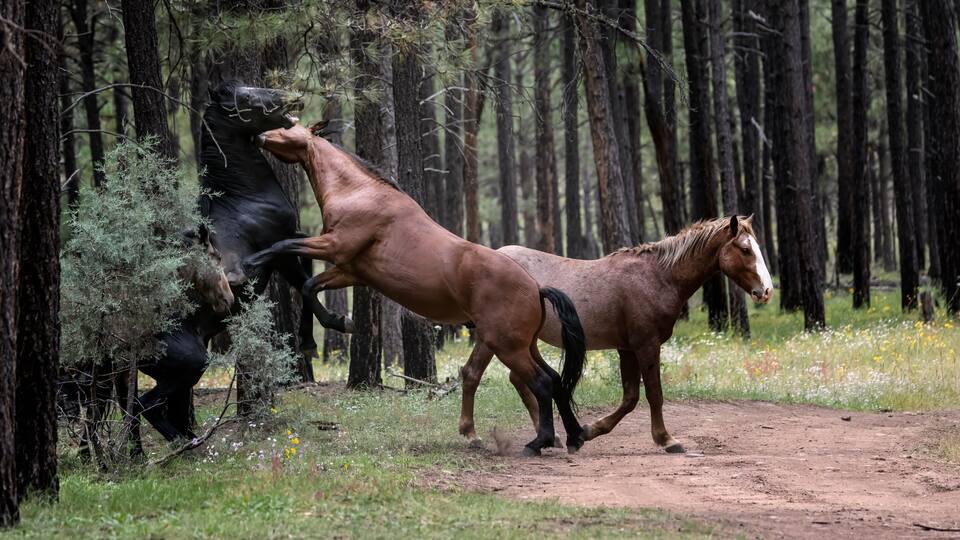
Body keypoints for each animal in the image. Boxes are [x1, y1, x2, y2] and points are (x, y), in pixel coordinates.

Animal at [133, 82, 353, 444]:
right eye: (246, 98)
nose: (291, 98)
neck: (244, 199)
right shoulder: (282, 251)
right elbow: (304, 284)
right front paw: (333, 325)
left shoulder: (293, 240)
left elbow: (307, 276)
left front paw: (307, 339)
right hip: (190, 362)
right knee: (146, 405)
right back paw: (187, 444)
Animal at [242, 122, 590, 455]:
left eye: (288, 126)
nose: (258, 136)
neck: (358, 192)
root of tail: (536, 288)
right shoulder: (350, 270)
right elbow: (308, 287)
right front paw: (320, 333)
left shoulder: (334, 246)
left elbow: (284, 246)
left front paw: (250, 262)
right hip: (522, 345)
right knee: (554, 380)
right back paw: (572, 436)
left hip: (506, 346)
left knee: (541, 384)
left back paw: (538, 442)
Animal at [458, 216, 773, 453]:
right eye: (745, 249)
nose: (767, 291)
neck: (658, 277)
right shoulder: (646, 345)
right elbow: (653, 394)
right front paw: (666, 439)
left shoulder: (628, 349)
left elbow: (630, 398)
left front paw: (588, 431)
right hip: (496, 339)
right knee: (473, 374)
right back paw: (472, 435)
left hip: (521, 341)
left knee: (520, 380)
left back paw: (550, 436)